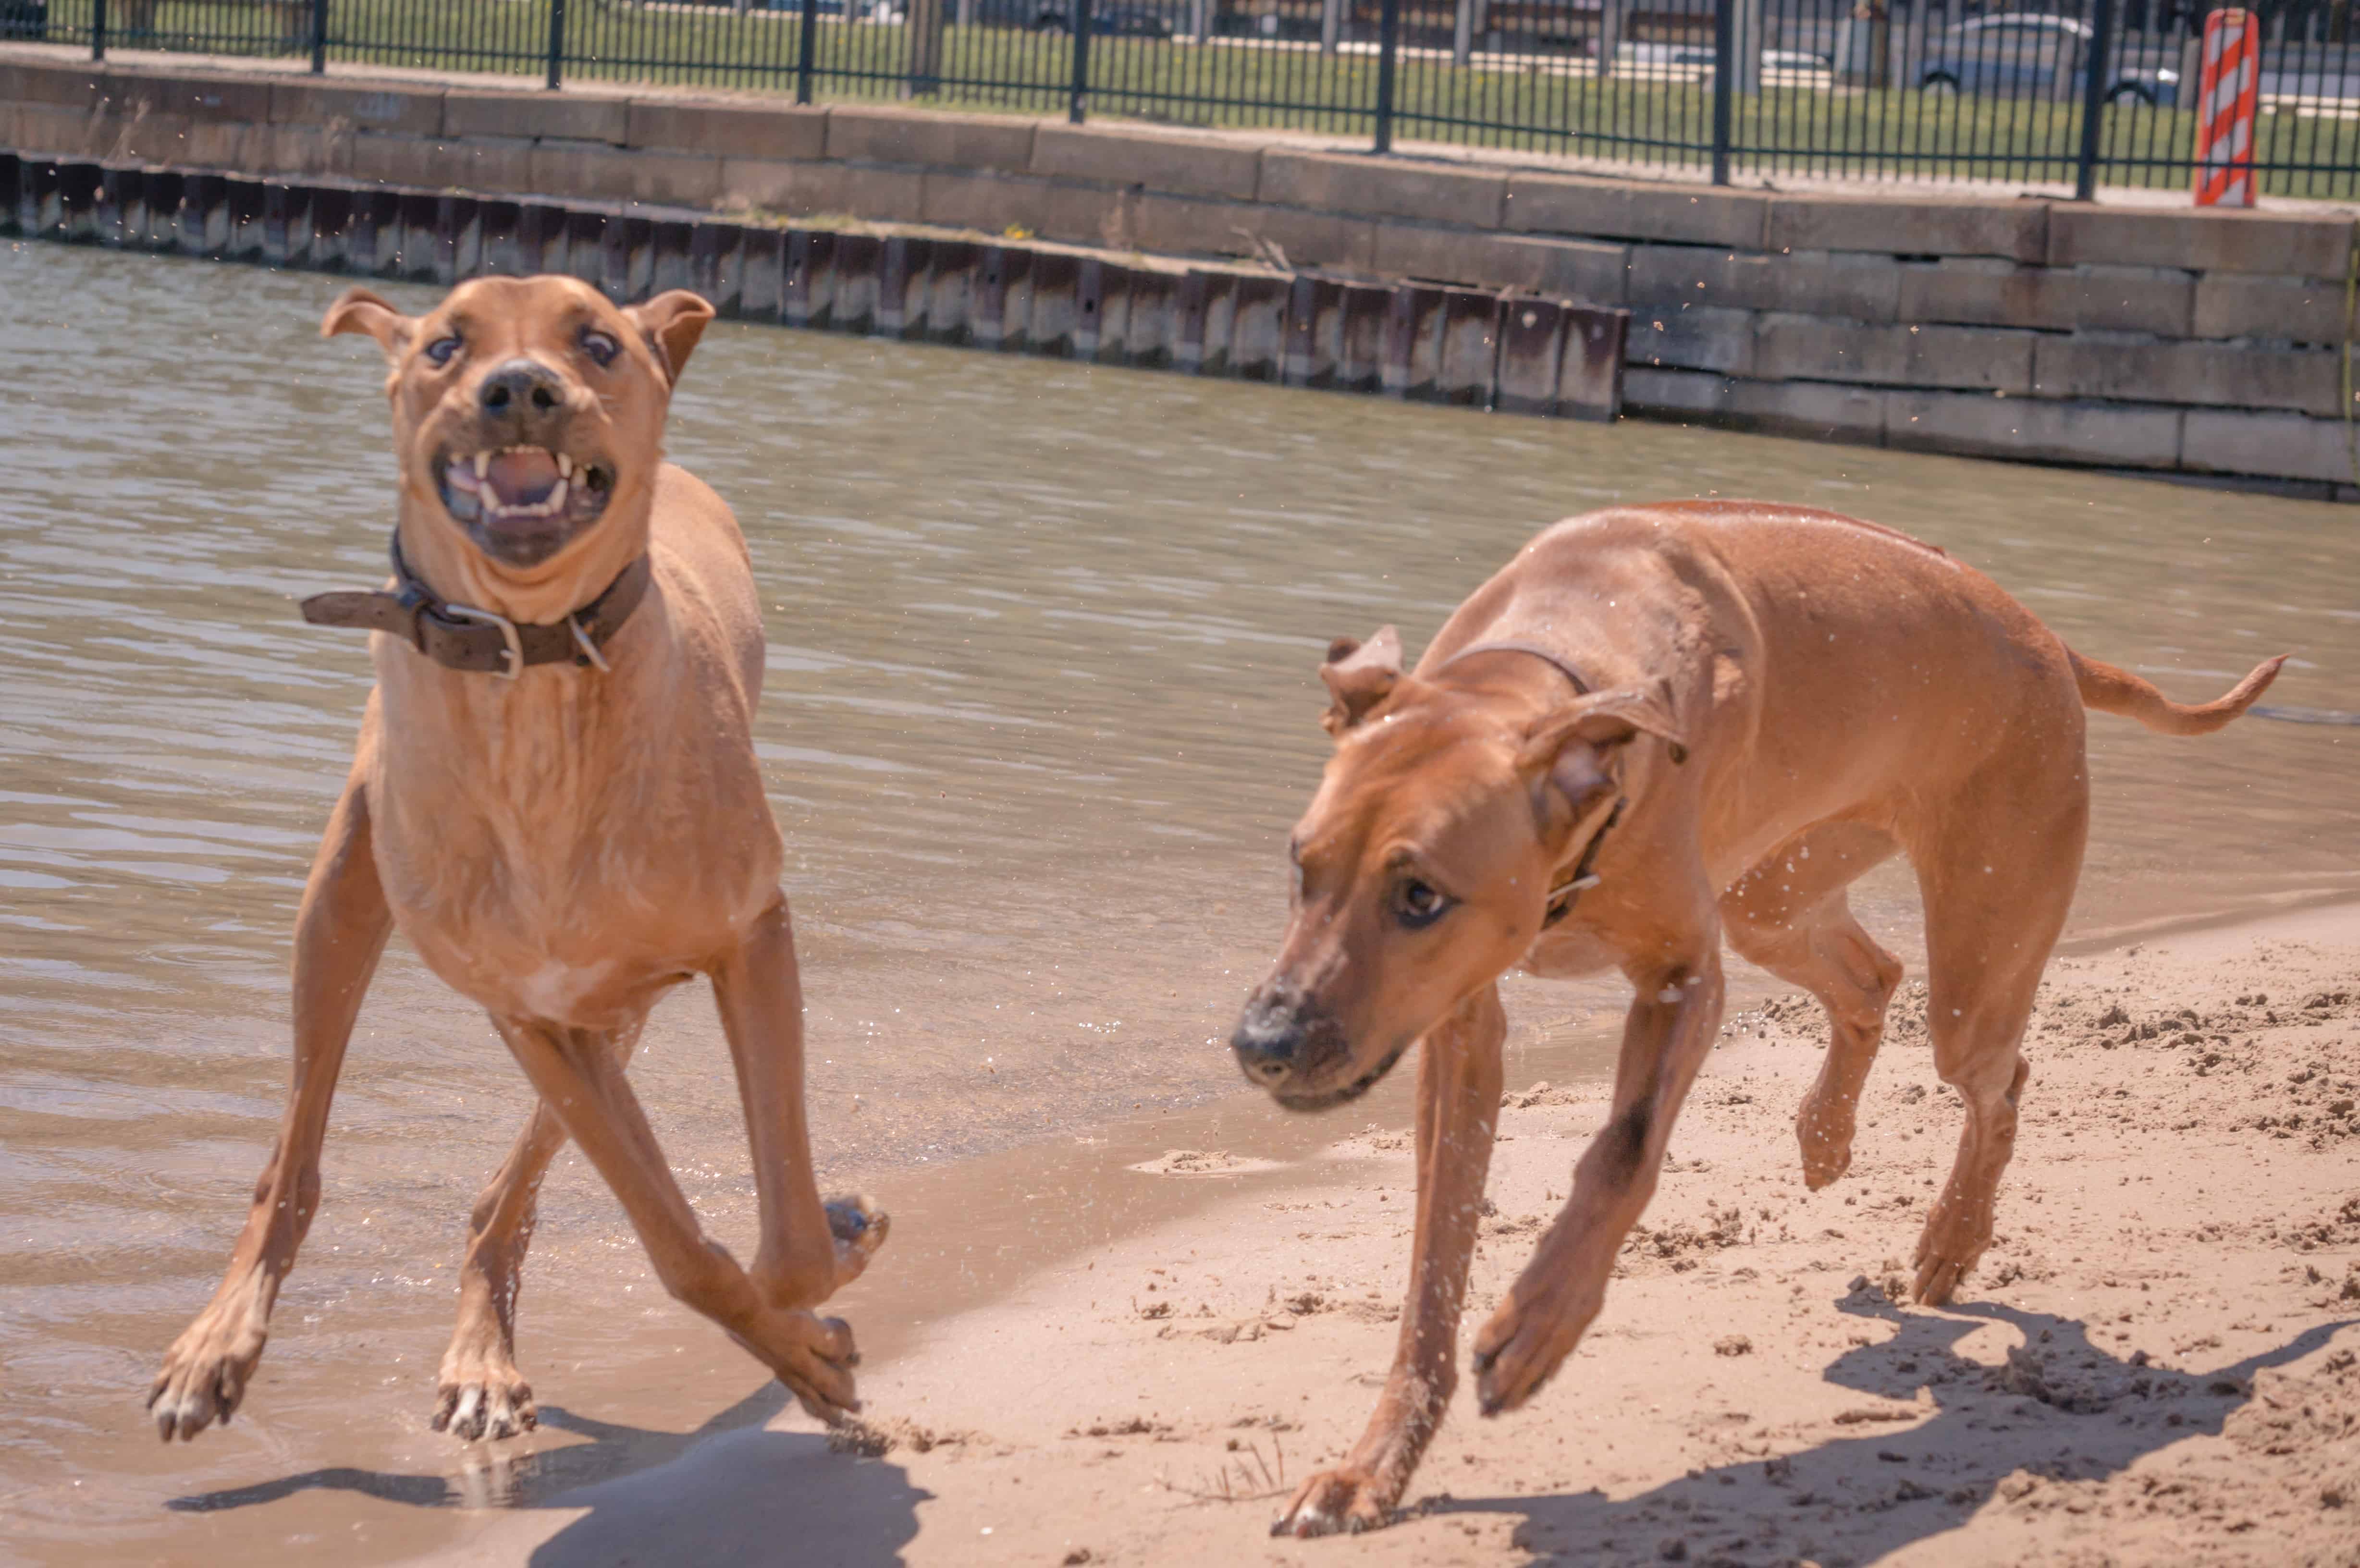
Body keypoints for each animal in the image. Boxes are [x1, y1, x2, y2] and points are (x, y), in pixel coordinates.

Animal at [148, 279, 887, 1445]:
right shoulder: (529, 1010)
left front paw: (822, 1276)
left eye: (597, 342)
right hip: (344, 903)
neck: (535, 676)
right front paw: (805, 1340)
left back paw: (485, 1353)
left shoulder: (748, 939)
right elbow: (682, 1246)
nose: (522, 390)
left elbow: (774, 1248)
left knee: (512, 1192)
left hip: (617, 1002)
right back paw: (224, 1341)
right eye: (445, 344)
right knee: (294, 1160)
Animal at [1236, 498, 2284, 1530]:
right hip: (1777, 888)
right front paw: (1373, 1466)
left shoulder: (1682, 979)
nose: (1260, 1044)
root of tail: (2049, 640)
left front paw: (1537, 1327)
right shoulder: (1460, 1021)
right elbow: (1432, 1266)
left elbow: (1622, 1153)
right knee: (1872, 978)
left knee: (1996, 1076)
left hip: (1976, 944)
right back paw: (1825, 1134)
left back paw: (1951, 1236)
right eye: (1299, 863)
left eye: (1419, 895)